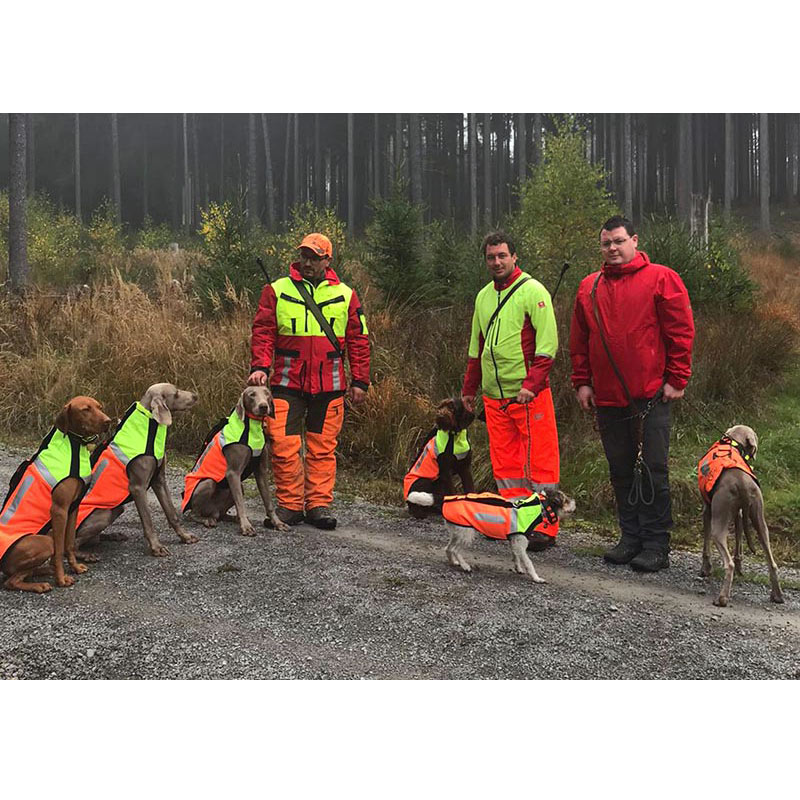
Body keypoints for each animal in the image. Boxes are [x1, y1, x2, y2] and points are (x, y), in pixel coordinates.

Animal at [0, 396, 111, 592]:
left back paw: (46, 570)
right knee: (10, 581)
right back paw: (40, 584)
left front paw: (75, 567)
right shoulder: (59, 510)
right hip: (45, 541)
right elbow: (59, 550)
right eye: (85, 409)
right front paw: (61, 579)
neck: (74, 446)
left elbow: (70, 543)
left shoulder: (73, 508)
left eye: (99, 407)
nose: (108, 421)